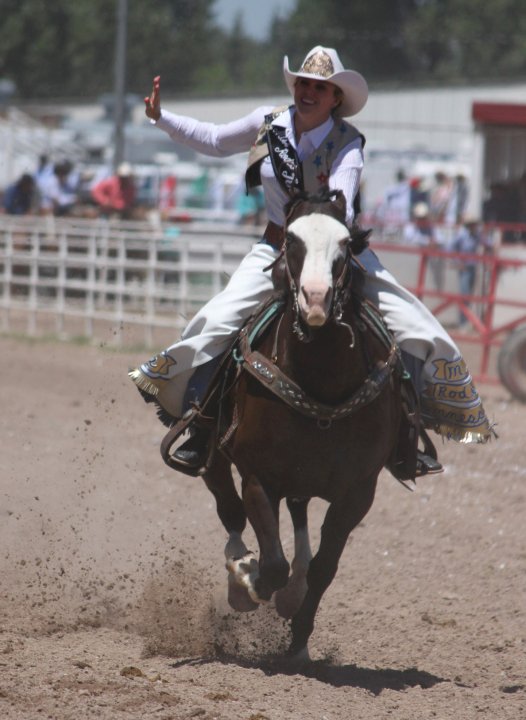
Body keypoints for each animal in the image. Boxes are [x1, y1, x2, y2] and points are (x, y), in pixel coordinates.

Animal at [169, 188, 408, 660]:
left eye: (345, 244)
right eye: (292, 242)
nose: (315, 299)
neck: (322, 384)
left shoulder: (358, 492)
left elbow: (324, 568)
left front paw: (298, 638)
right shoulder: (259, 478)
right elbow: (272, 562)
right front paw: (251, 580)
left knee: (298, 529)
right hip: (215, 458)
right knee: (230, 511)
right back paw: (241, 571)